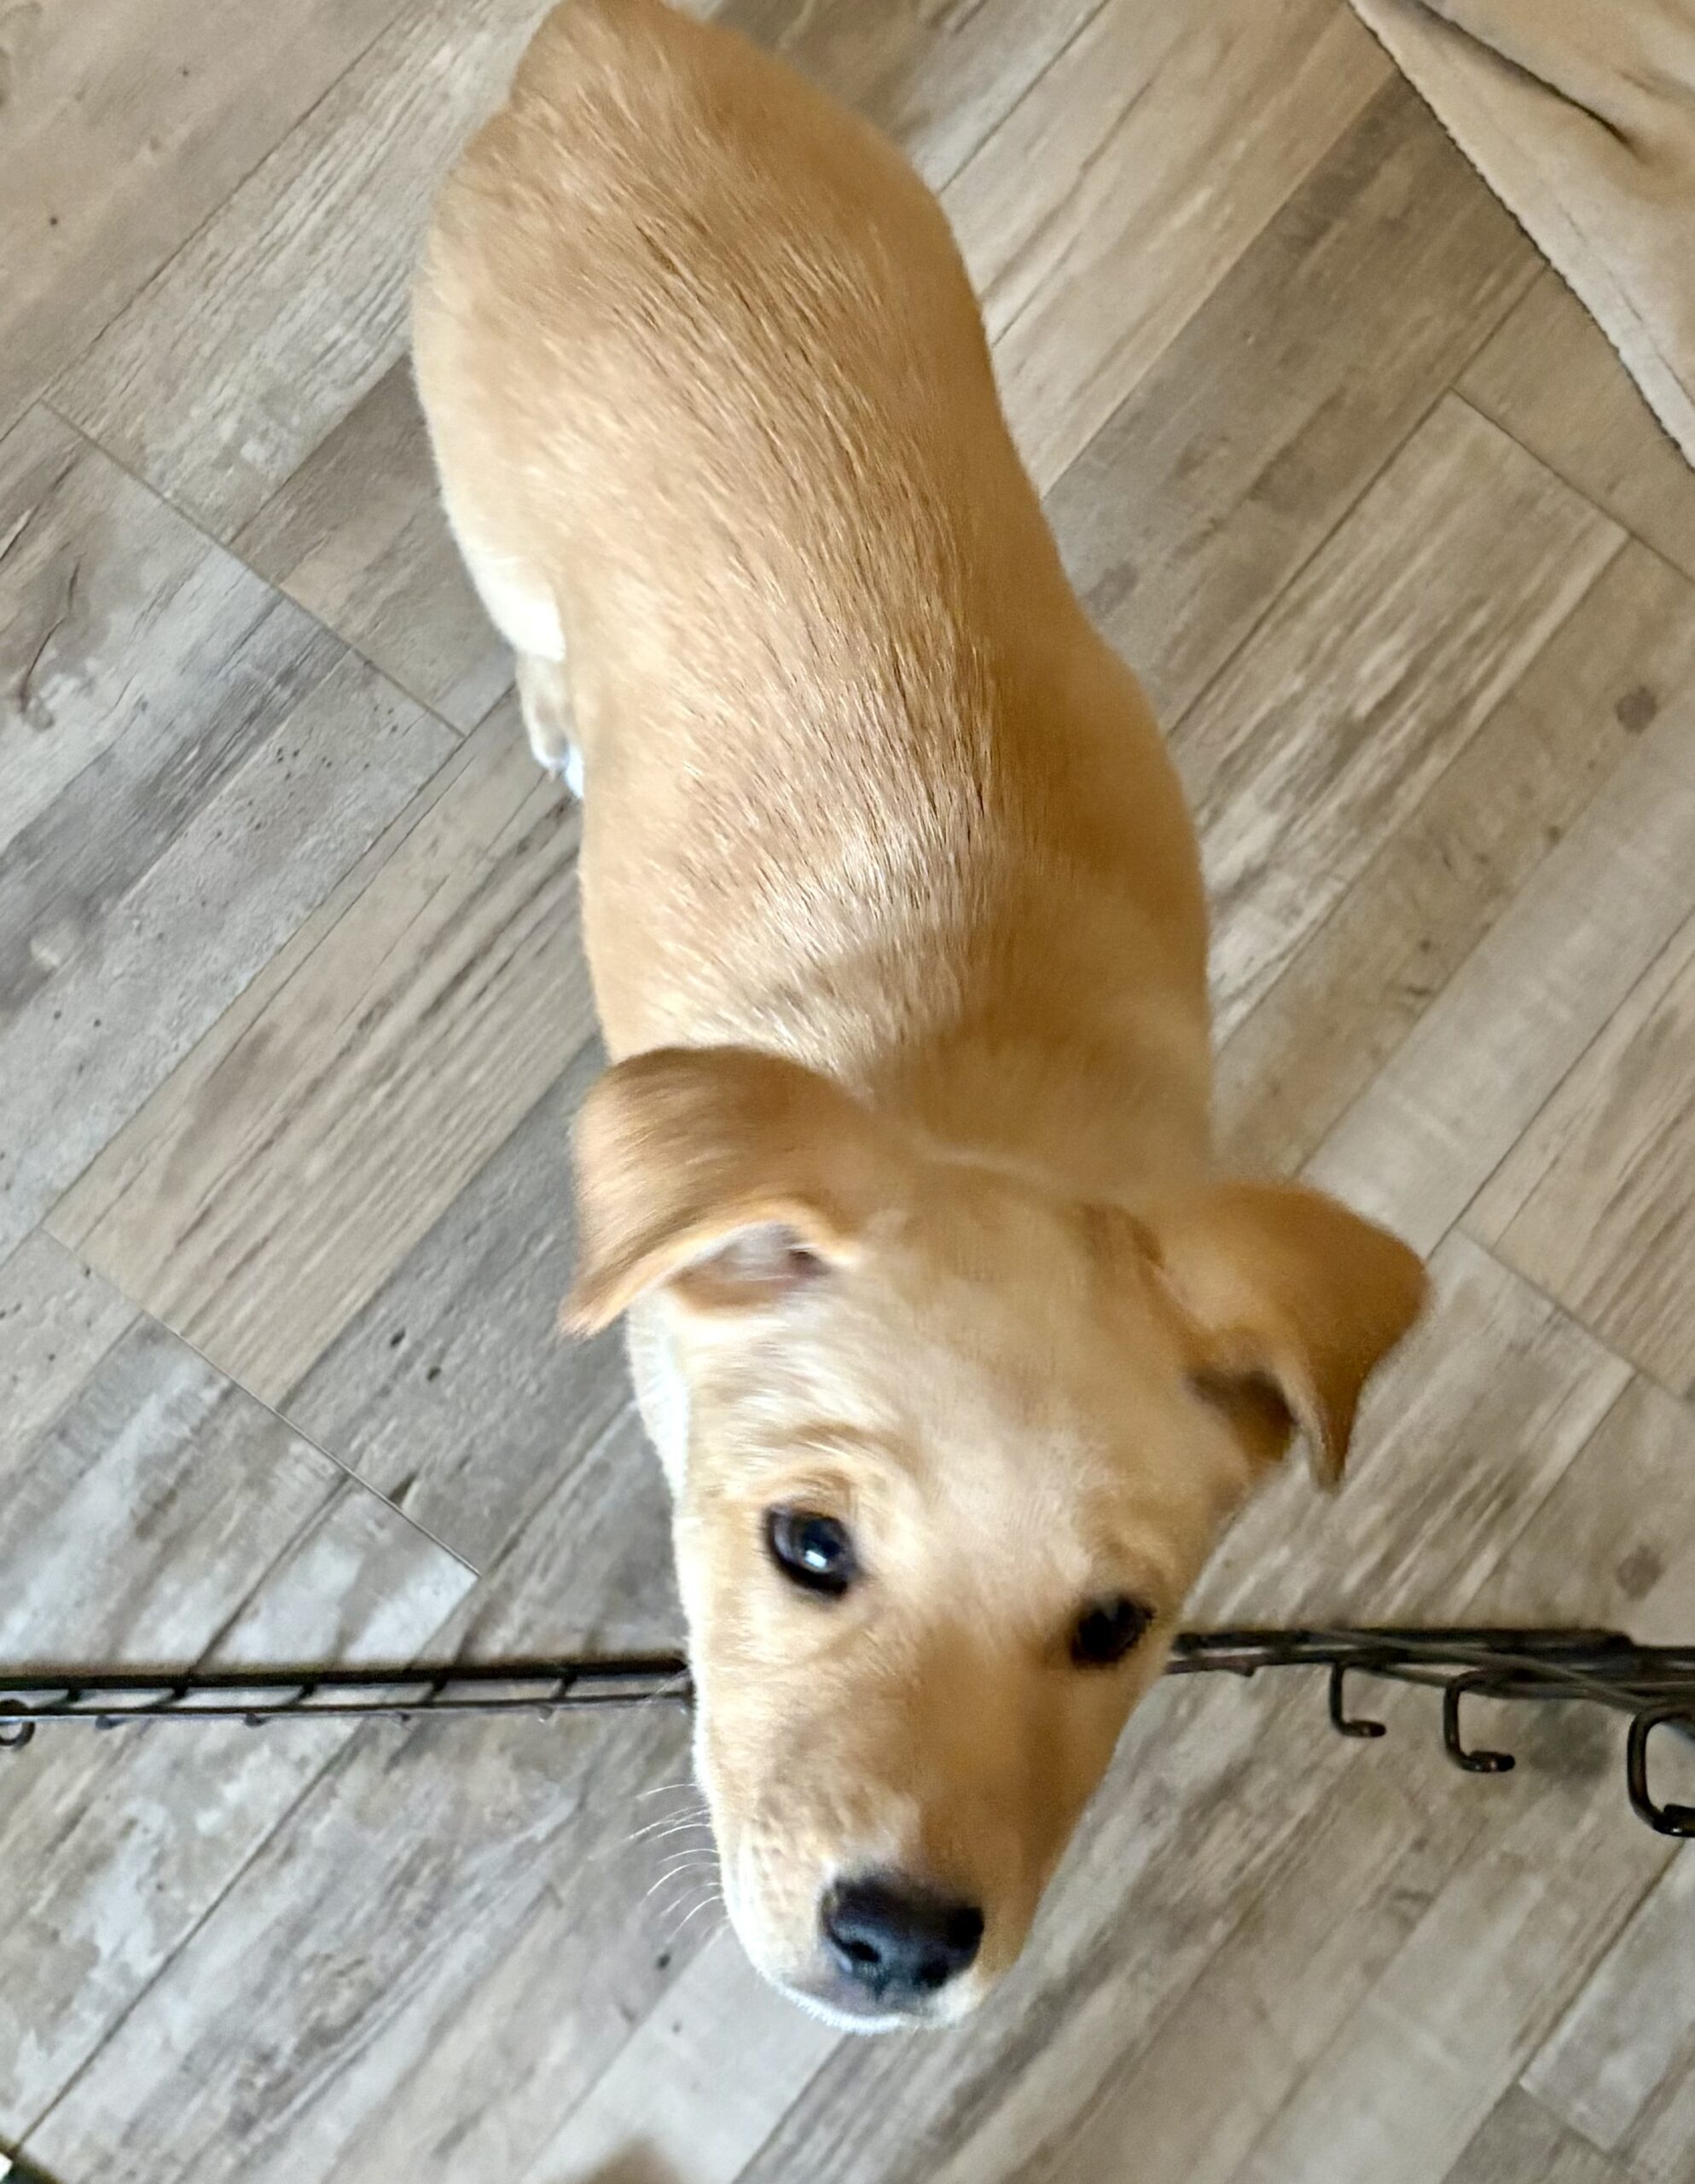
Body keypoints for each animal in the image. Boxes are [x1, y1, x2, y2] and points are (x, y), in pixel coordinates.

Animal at [413, 0, 1427, 2030]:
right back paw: (560, 722)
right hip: (483, 494)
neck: (986, 1097)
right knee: (536, 635)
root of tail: (606, 47)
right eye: (806, 1547)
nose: (899, 1944)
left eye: (1116, 1625)